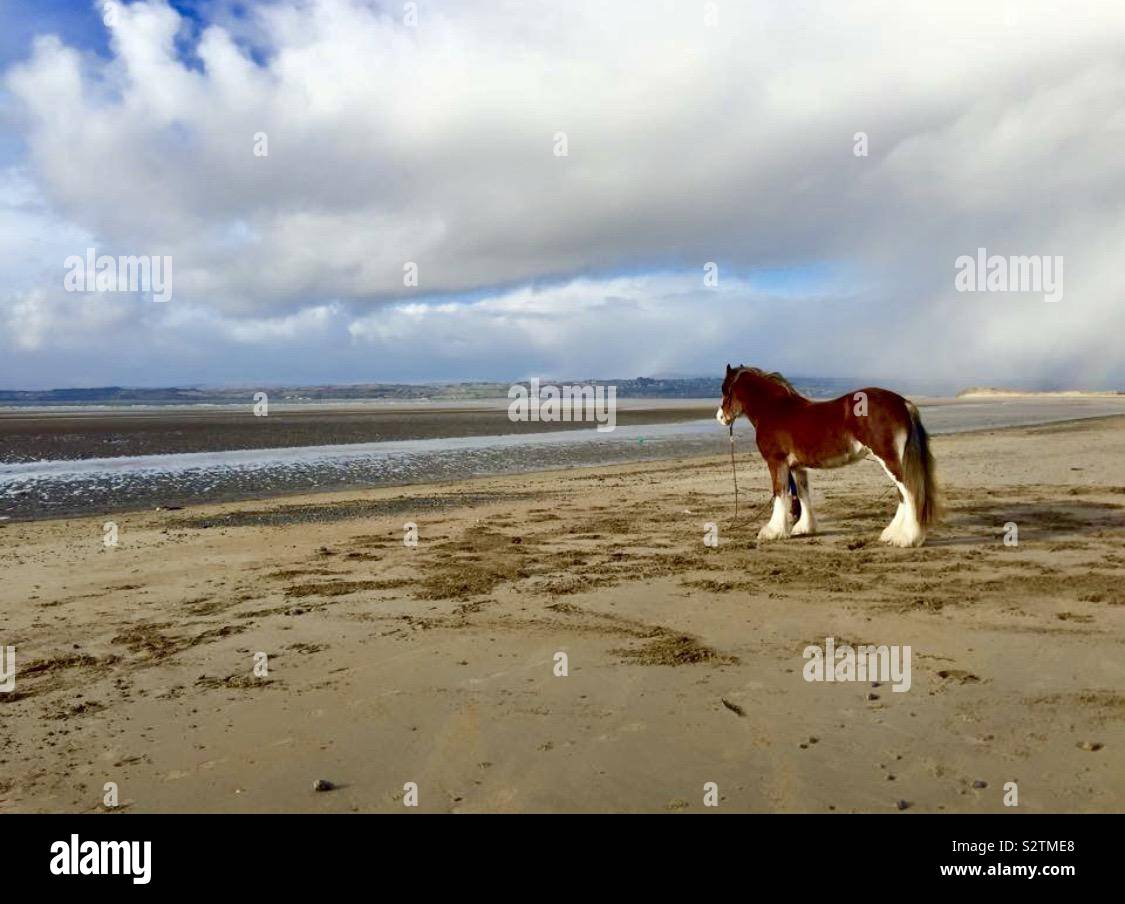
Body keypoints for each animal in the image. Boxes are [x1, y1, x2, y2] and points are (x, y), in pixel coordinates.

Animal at [720, 364, 940, 546]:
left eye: (725, 389)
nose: (721, 417)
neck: (775, 410)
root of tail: (903, 403)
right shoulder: (797, 467)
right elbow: (802, 494)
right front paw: (804, 528)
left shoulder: (777, 462)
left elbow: (780, 493)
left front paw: (772, 532)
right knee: (902, 495)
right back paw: (892, 534)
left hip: (889, 460)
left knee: (909, 492)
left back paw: (907, 538)